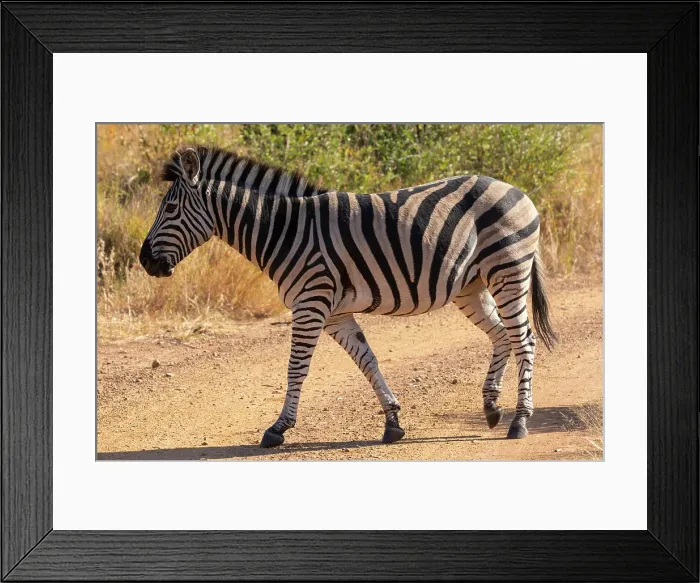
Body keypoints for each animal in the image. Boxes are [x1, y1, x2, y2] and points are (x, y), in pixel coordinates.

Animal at [140, 146, 557, 448]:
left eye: (170, 207)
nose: (145, 261)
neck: (283, 231)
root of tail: (517, 191)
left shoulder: (311, 303)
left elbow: (296, 368)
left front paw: (279, 428)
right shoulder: (335, 313)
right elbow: (367, 361)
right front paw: (393, 422)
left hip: (507, 270)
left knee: (524, 340)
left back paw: (520, 421)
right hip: (472, 285)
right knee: (502, 335)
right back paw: (491, 407)